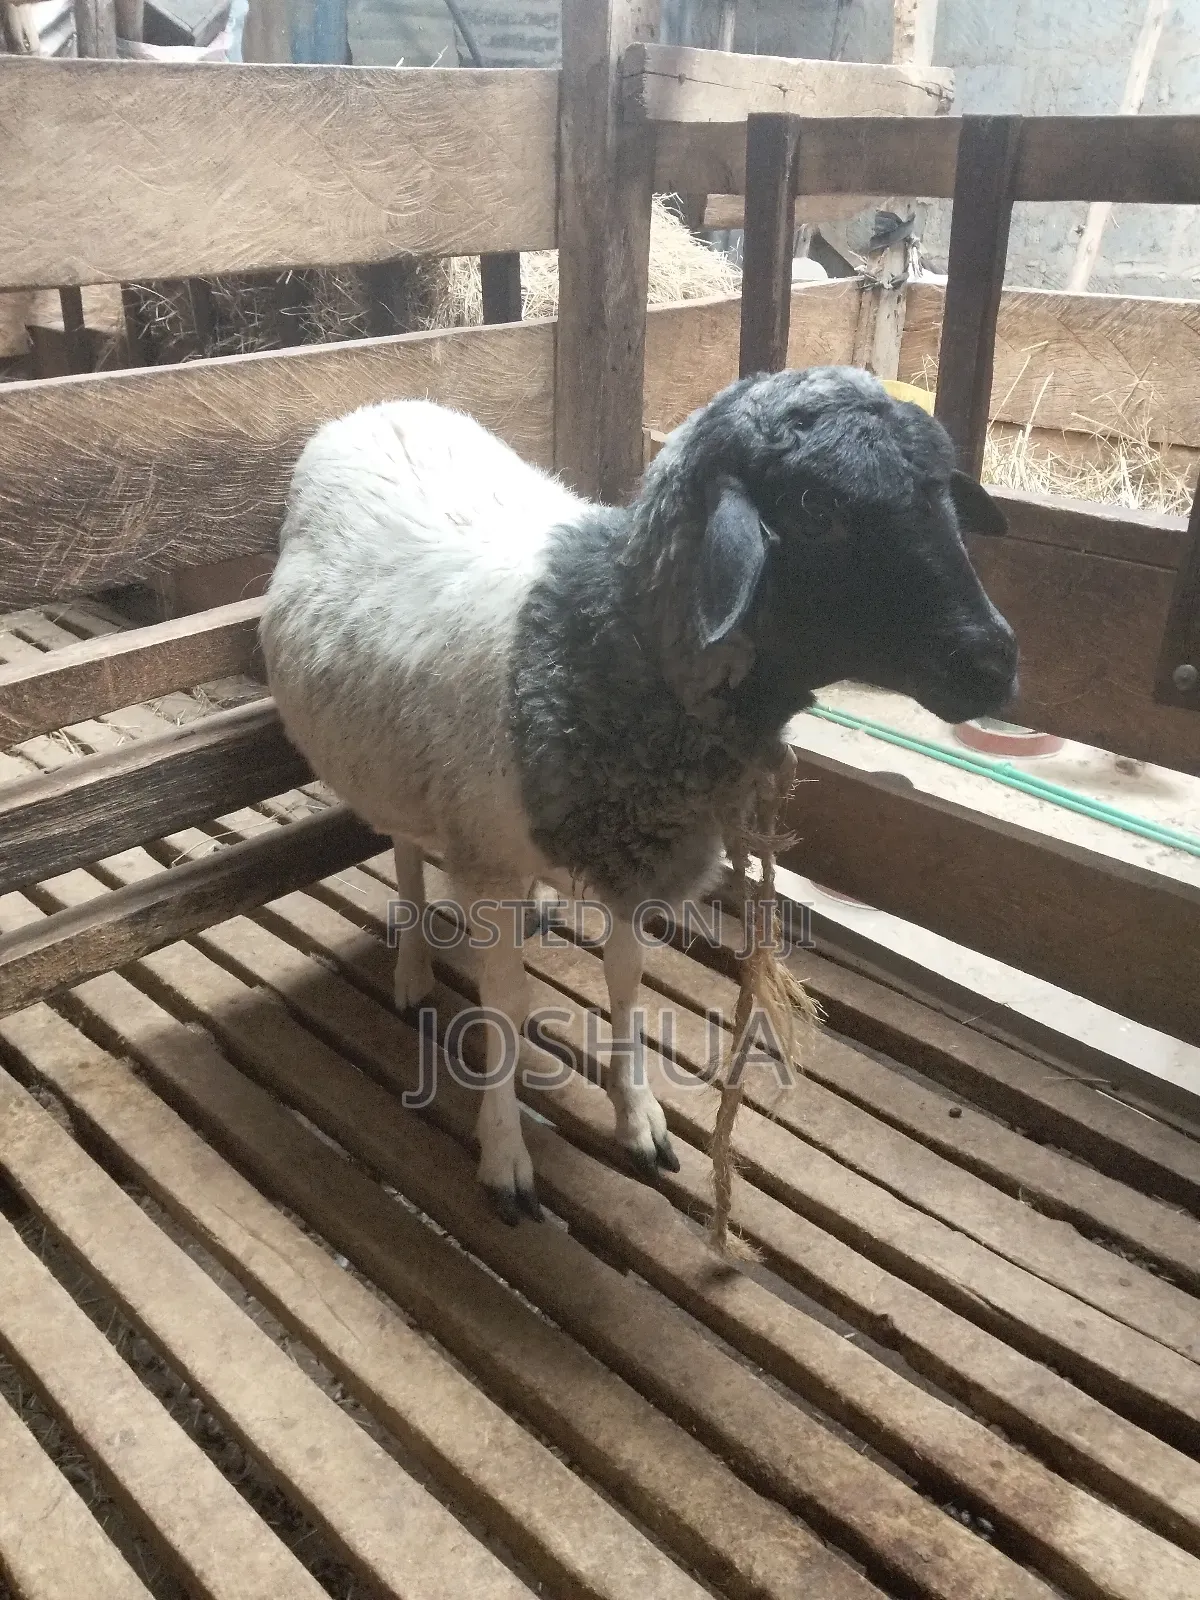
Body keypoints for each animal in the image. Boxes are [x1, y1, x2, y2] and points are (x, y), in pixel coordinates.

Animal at [259, 365, 1018, 1223]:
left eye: (942, 491)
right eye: (814, 508)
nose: (994, 662)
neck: (597, 639)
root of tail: (381, 406)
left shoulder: (636, 852)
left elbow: (626, 983)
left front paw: (639, 1116)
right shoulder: (487, 857)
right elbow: (505, 1007)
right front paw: (504, 1155)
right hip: (393, 772)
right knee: (405, 855)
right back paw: (415, 969)